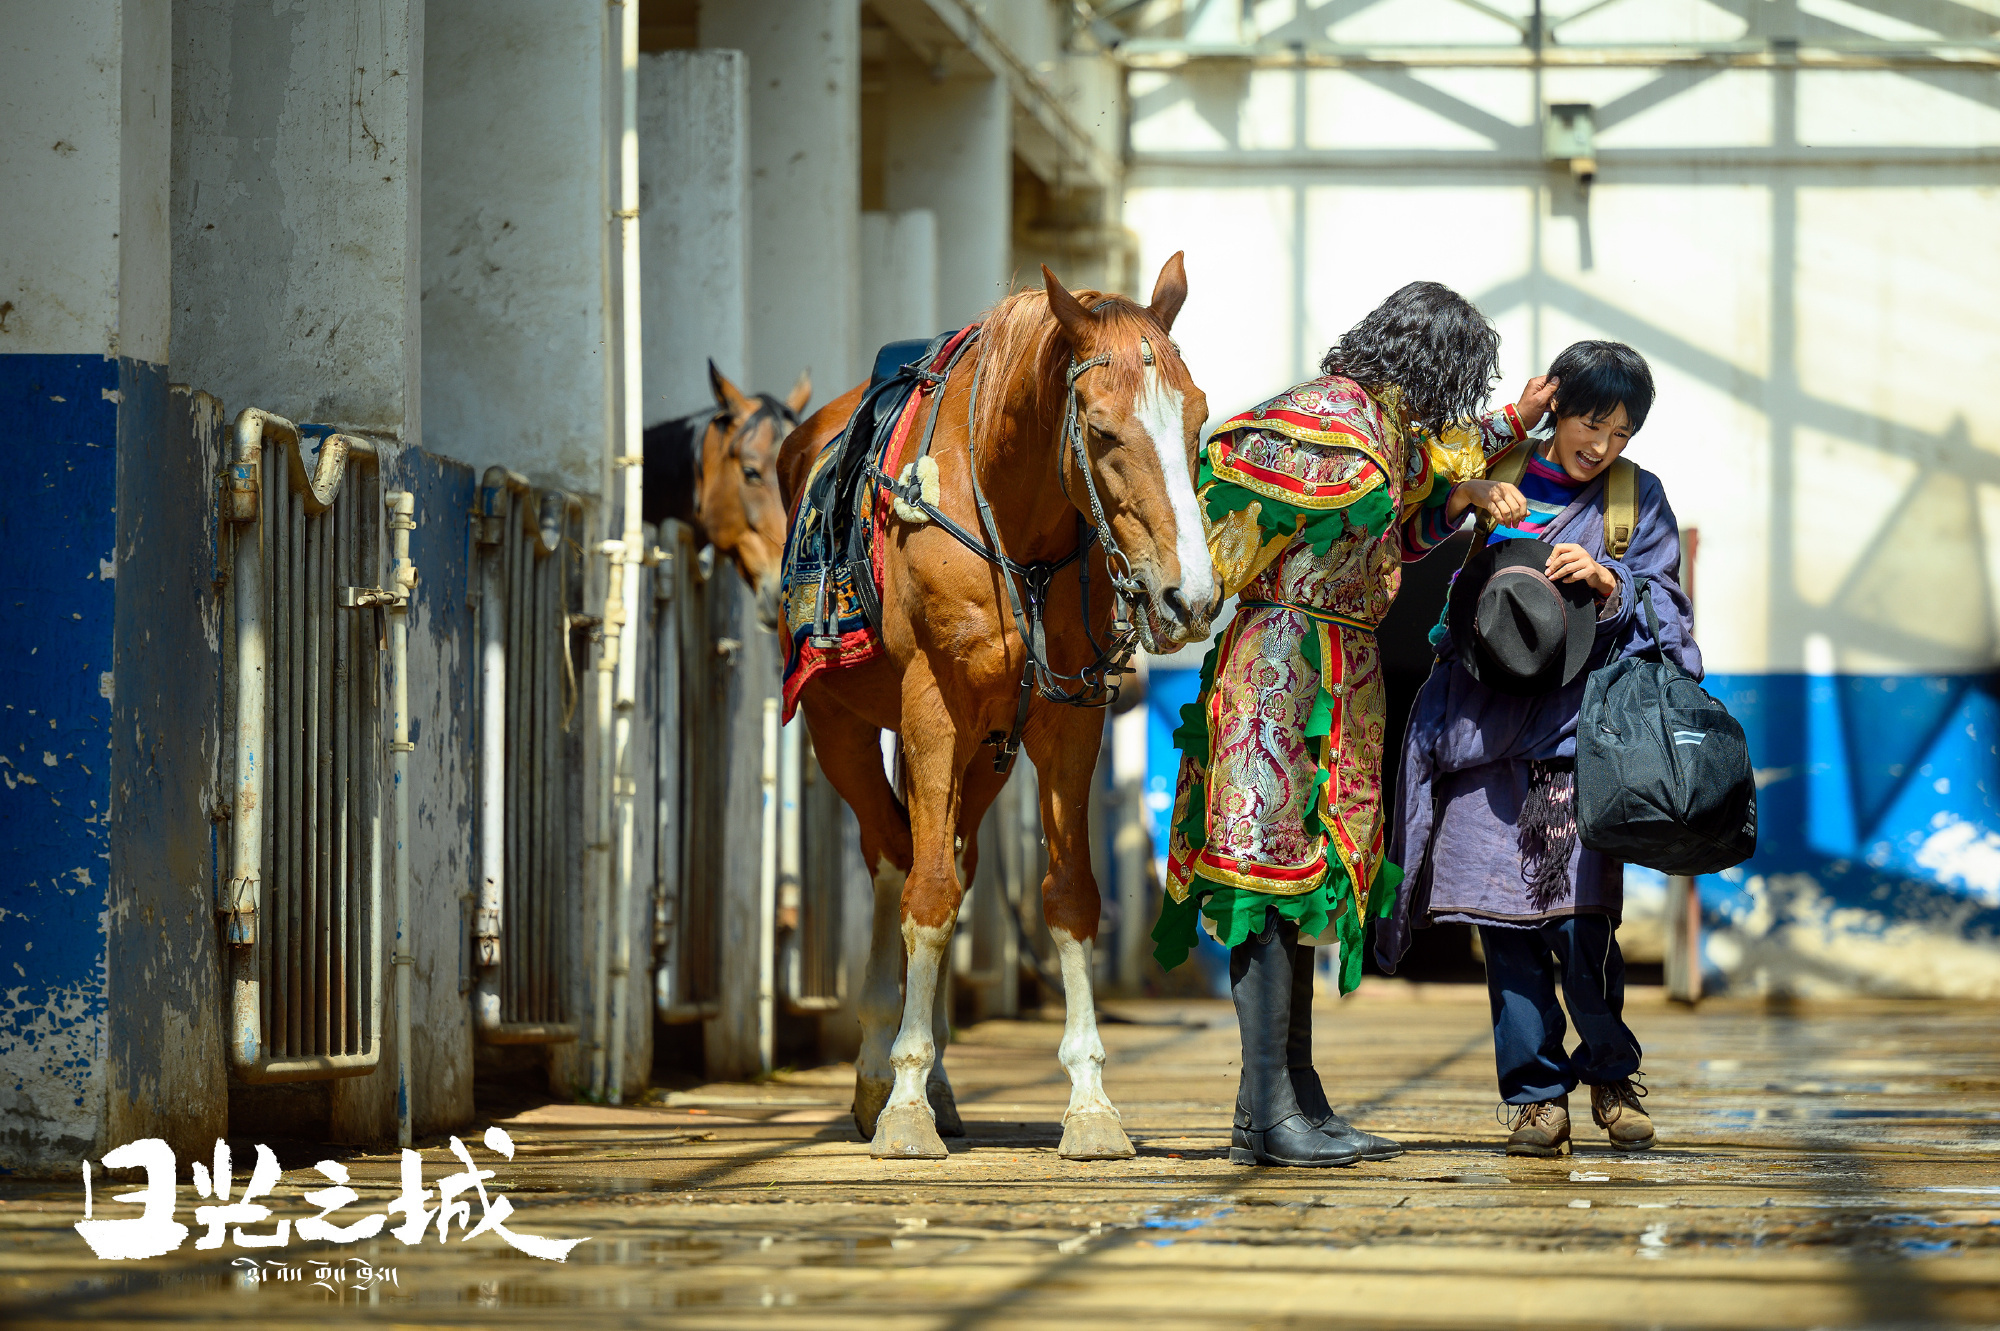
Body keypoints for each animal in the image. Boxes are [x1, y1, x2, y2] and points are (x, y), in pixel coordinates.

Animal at [776, 253, 1216, 1159]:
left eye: (1196, 421)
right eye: (1102, 430)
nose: (1189, 598)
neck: (1017, 531)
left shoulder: (1068, 720)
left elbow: (1069, 896)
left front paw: (1090, 1102)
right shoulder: (931, 710)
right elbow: (927, 896)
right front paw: (904, 1102)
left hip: (986, 748)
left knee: (945, 852)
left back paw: (939, 1077)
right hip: (843, 730)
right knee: (896, 853)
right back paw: (881, 1070)